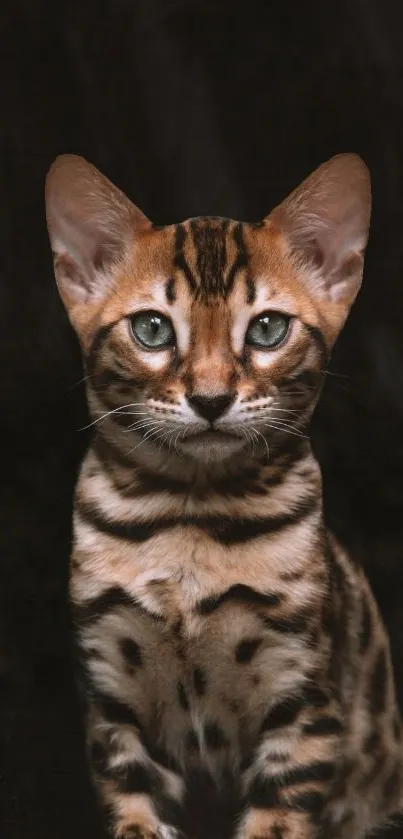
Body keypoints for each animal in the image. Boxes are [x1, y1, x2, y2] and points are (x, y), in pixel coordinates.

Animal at [45, 153, 402, 839]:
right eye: (151, 328)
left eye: (267, 328)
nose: (210, 399)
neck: (189, 516)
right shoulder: (112, 702)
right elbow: (135, 816)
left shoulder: (304, 703)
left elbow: (274, 823)